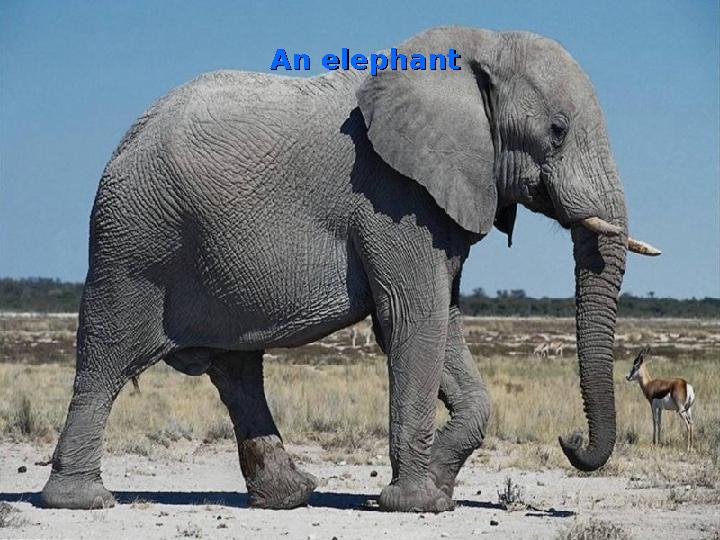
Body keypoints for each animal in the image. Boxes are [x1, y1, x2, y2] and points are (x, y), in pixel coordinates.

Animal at [40, 26, 660, 513]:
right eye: (557, 129)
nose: (569, 439)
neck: (476, 50)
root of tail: (125, 140)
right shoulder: (394, 195)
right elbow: (413, 320)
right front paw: (418, 503)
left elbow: (442, 320)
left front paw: (437, 485)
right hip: (133, 245)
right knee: (107, 358)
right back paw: (83, 501)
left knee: (237, 370)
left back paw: (290, 496)